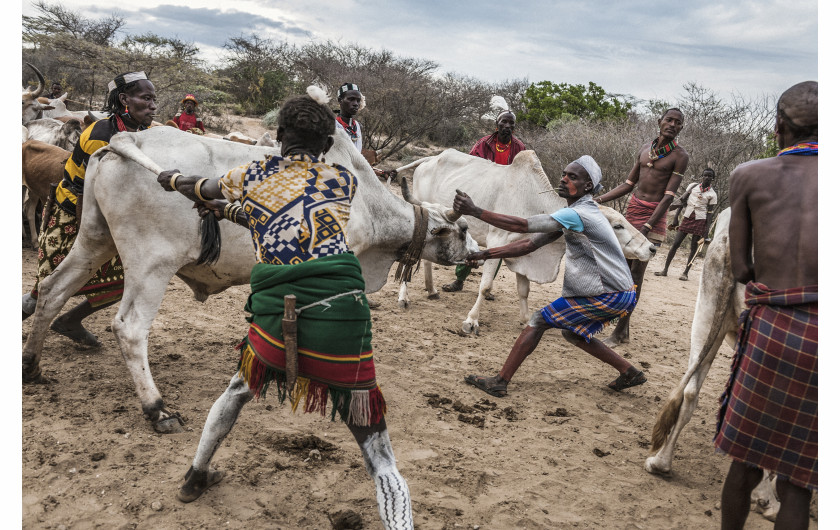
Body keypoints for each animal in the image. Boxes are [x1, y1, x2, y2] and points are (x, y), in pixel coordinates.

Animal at [21, 129, 480, 434]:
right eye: (459, 231)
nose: (475, 255)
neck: (369, 205)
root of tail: (127, 139)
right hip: (151, 264)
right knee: (129, 328)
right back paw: (157, 408)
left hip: (94, 239)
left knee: (52, 290)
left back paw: (31, 365)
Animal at [394, 147, 656, 330]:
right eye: (617, 226)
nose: (651, 248)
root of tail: (430, 159)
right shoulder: (497, 242)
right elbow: (485, 285)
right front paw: (471, 321)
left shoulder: (522, 251)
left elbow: (524, 289)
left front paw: (525, 319)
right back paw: (404, 297)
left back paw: (431, 289)